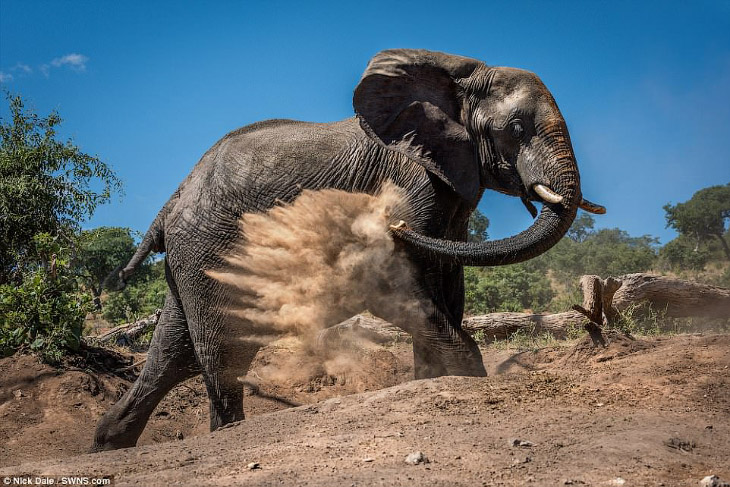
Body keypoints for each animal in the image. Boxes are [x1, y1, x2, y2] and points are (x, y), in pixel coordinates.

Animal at [91, 47, 604, 452]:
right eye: (516, 128)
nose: (390, 223)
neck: (457, 78)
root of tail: (173, 199)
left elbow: (447, 287)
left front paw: (432, 381)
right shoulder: (410, 182)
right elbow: (393, 288)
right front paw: (466, 379)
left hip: (192, 260)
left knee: (171, 355)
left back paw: (107, 444)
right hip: (207, 251)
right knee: (223, 353)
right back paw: (223, 433)